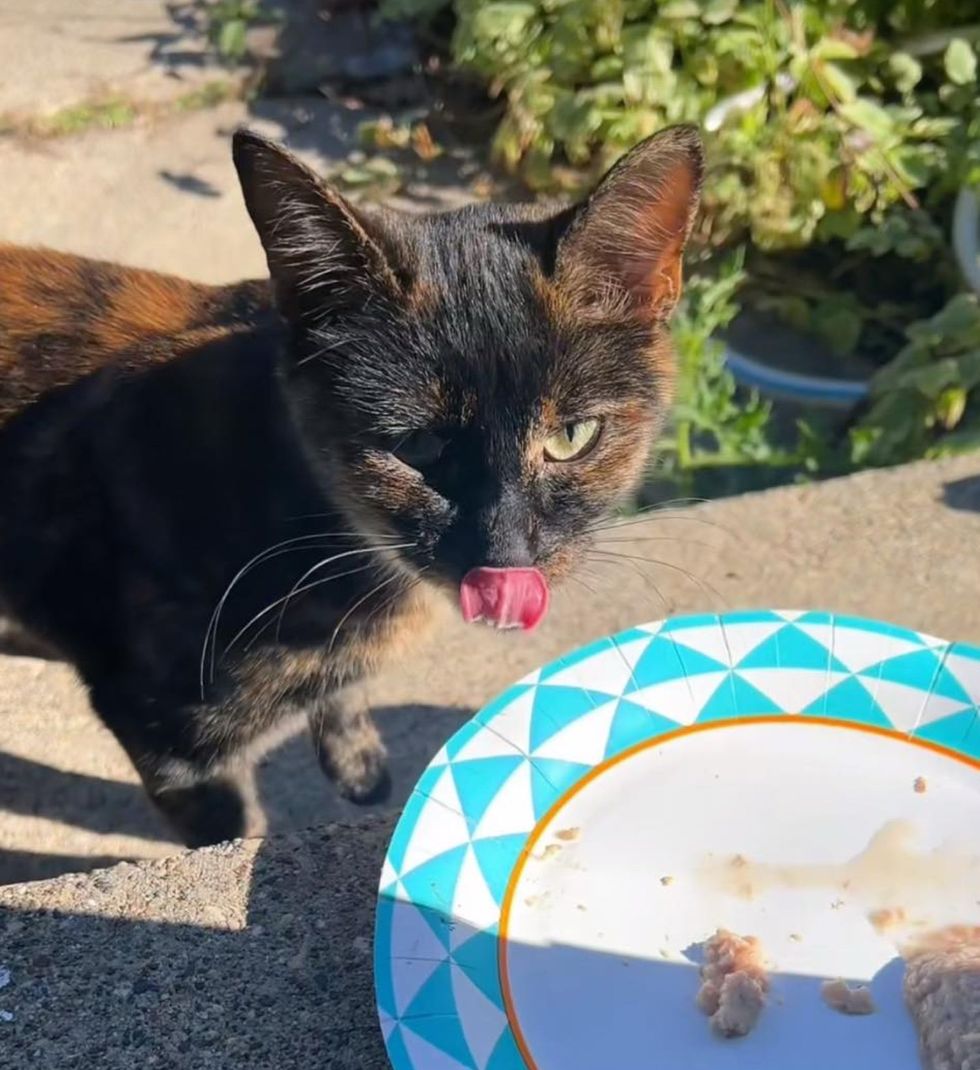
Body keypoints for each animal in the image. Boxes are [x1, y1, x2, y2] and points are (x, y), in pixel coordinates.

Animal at [0, 123, 706, 843]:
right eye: (416, 446)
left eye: (572, 436)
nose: (504, 556)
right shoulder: (169, 741)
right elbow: (234, 829)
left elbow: (340, 696)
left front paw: (358, 761)